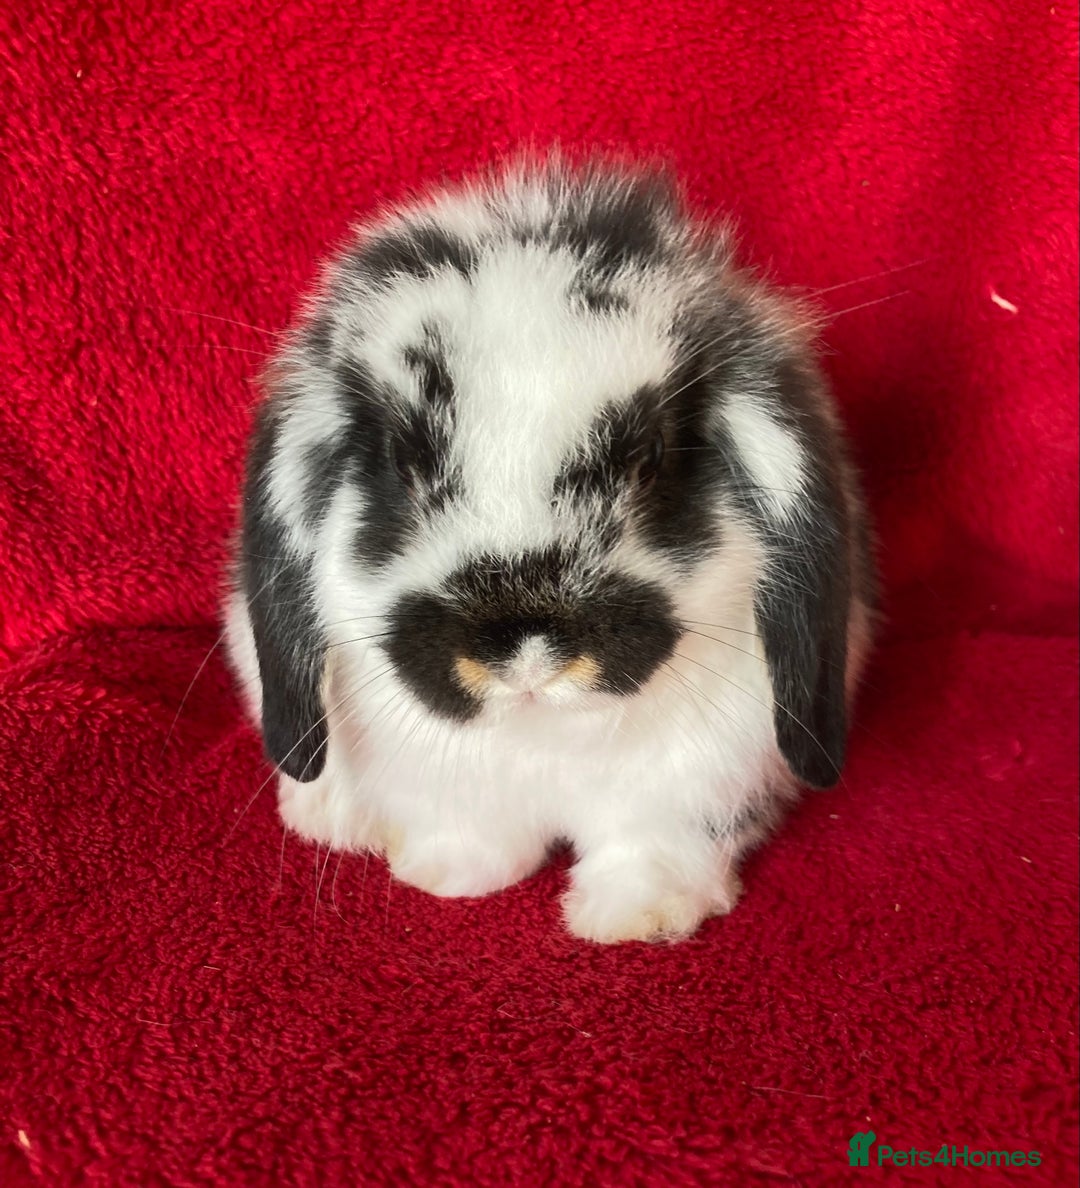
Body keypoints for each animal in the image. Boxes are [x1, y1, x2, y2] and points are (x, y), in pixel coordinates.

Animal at [224, 154, 876, 944]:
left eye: (650, 456)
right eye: (403, 459)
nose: (526, 652)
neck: (544, 735)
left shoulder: (698, 781)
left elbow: (654, 844)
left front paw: (638, 917)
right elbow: (468, 829)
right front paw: (445, 874)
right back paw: (328, 815)